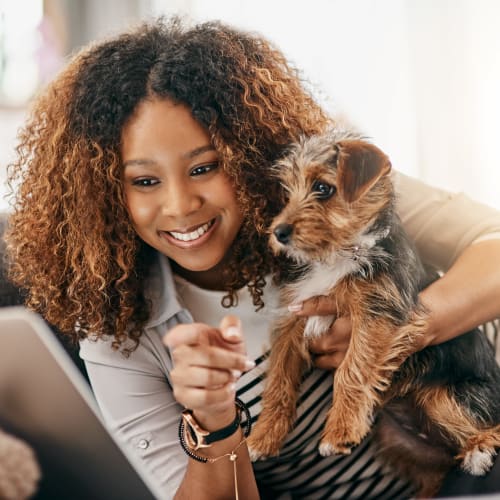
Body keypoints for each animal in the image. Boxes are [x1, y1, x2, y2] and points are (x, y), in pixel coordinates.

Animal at [248, 128, 500, 496]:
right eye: (287, 192)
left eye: (323, 188)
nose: (278, 233)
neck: (339, 254)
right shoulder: (294, 317)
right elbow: (278, 379)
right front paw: (263, 436)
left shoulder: (378, 315)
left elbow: (352, 369)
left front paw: (340, 431)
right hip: (397, 439)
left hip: (446, 398)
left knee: (492, 427)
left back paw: (479, 451)